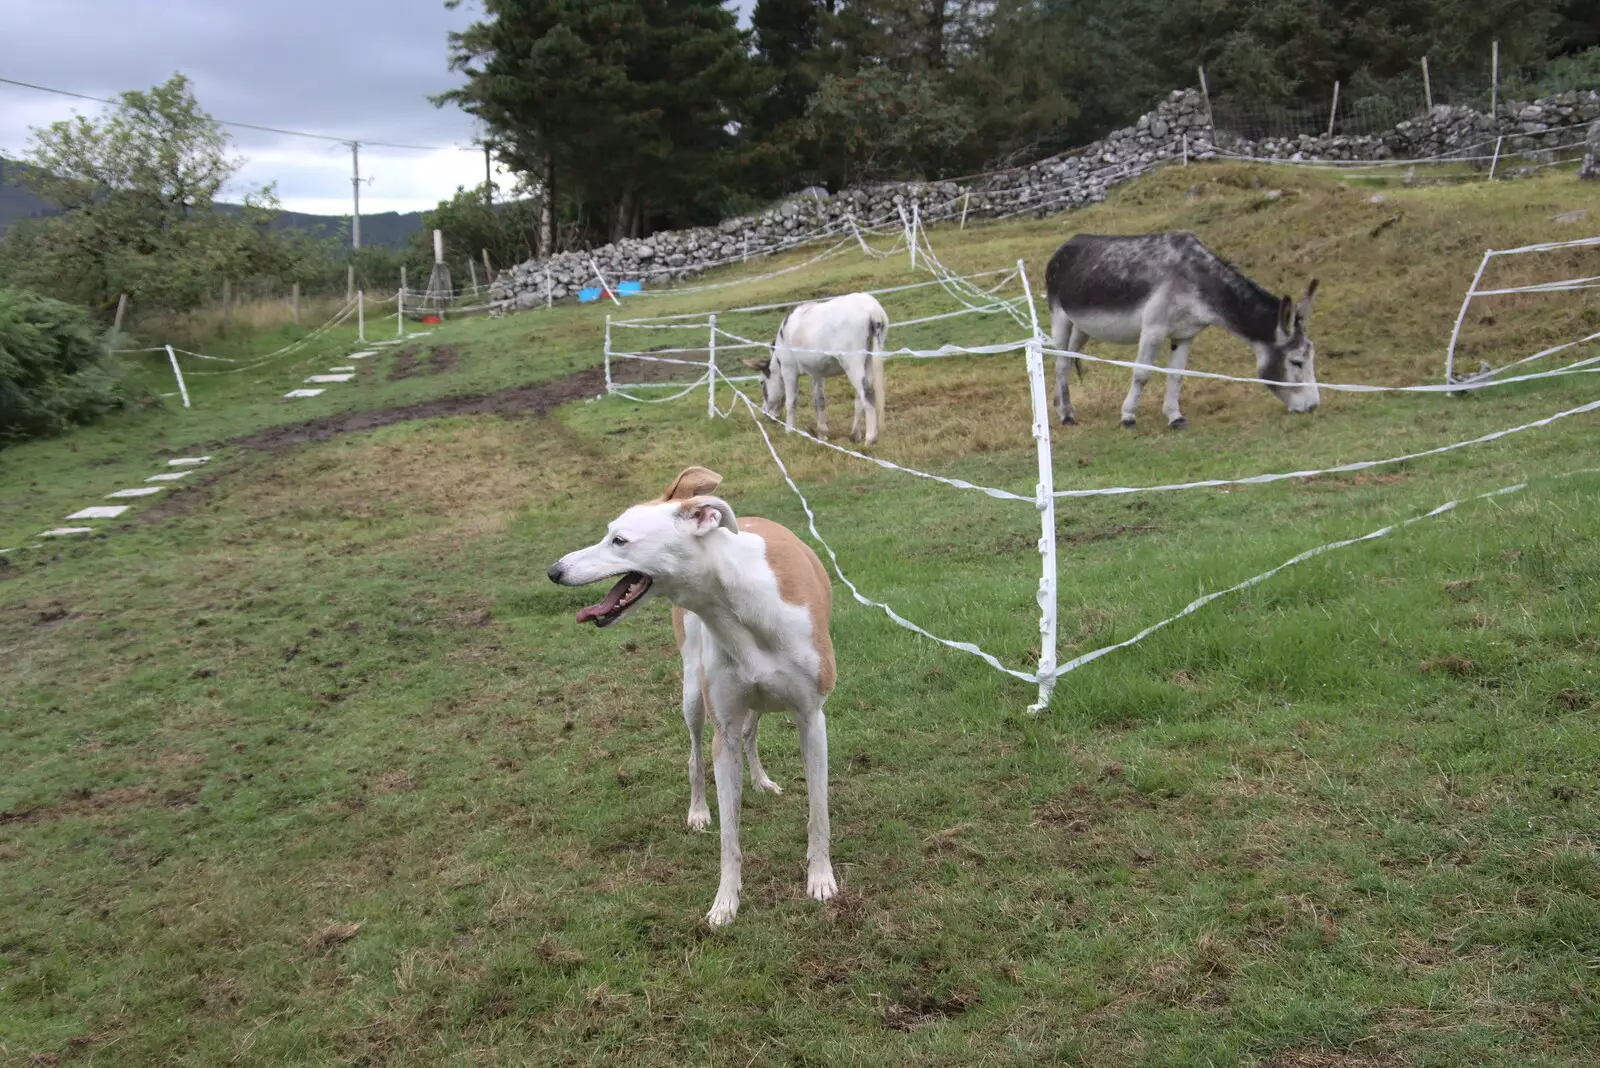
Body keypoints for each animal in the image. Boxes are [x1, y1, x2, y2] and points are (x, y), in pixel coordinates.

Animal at [547, 466, 838, 927]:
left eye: (619, 540)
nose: (554, 571)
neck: (741, 603)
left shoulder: (812, 719)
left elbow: (819, 813)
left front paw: (821, 879)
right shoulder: (723, 732)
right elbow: (729, 836)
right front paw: (726, 901)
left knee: (752, 733)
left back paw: (761, 780)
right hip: (693, 699)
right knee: (696, 756)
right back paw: (699, 810)